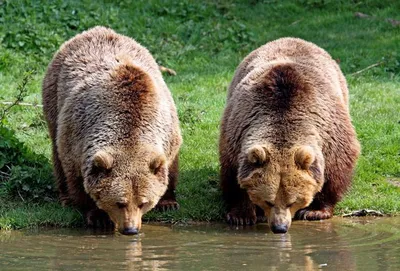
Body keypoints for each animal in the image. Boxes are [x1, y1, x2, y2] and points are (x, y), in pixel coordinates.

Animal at [41, 27, 181, 236]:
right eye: (120, 203)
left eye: (143, 203)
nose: (131, 229)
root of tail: (94, 30)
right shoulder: (76, 137)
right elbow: (77, 177)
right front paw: (98, 216)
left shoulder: (167, 131)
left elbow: (168, 168)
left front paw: (168, 202)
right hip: (54, 95)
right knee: (56, 149)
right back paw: (65, 198)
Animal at [220, 37, 360, 235]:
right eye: (268, 200)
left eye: (293, 201)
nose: (280, 228)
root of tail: (291, 39)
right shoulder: (238, 130)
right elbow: (233, 174)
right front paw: (242, 215)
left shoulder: (330, 132)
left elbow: (335, 169)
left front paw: (315, 211)